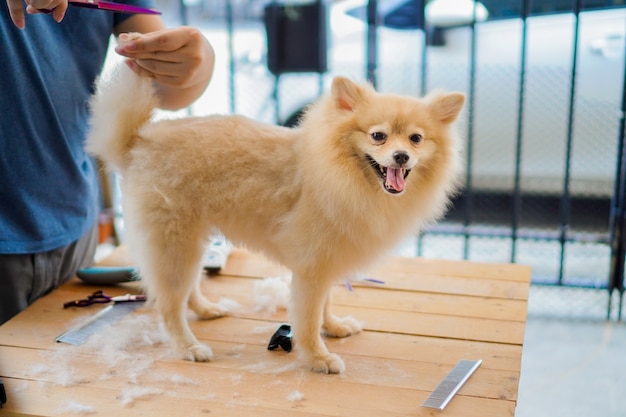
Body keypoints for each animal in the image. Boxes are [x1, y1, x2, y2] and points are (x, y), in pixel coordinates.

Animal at [85, 63, 460, 372]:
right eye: (378, 136)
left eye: (416, 138)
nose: (401, 156)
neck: (341, 174)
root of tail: (137, 142)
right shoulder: (311, 267)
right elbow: (307, 320)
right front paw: (318, 358)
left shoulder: (325, 261)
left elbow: (325, 305)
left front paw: (335, 327)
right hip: (174, 242)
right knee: (168, 305)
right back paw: (188, 347)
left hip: (190, 241)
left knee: (184, 289)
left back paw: (206, 310)